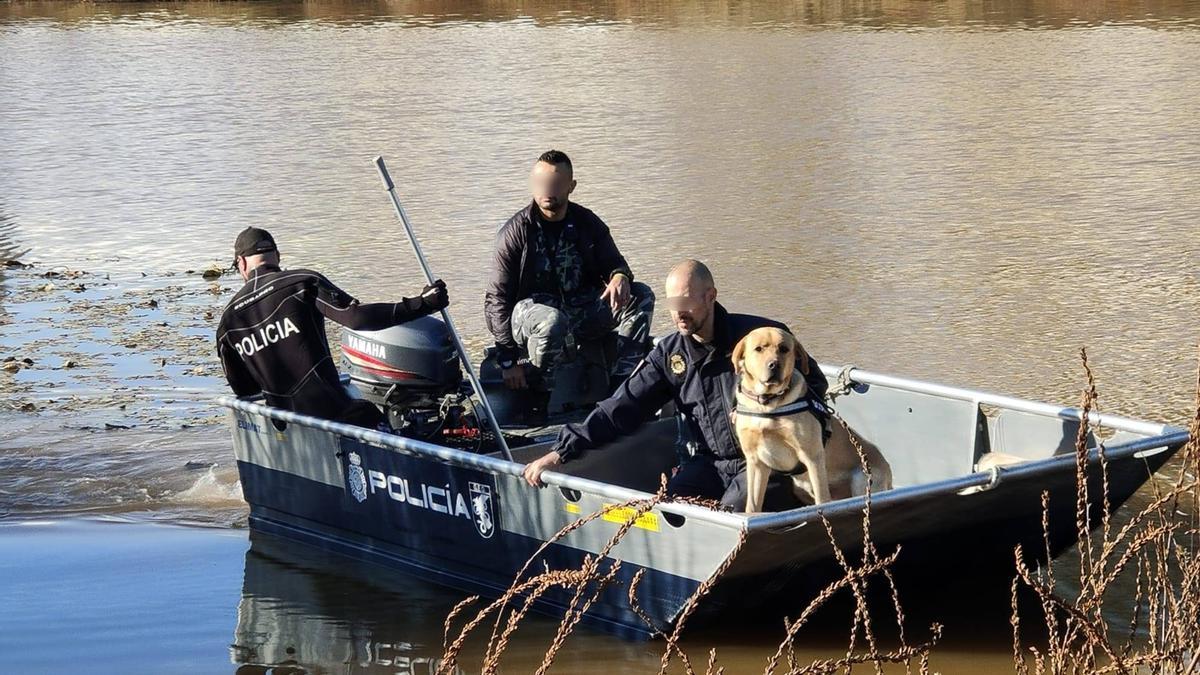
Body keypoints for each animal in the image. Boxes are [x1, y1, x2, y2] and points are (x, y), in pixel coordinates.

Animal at [729, 326, 892, 509]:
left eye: (784, 349)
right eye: (758, 349)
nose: (774, 364)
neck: (767, 404)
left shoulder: (812, 457)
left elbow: (822, 501)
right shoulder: (755, 462)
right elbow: (752, 505)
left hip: (861, 479)